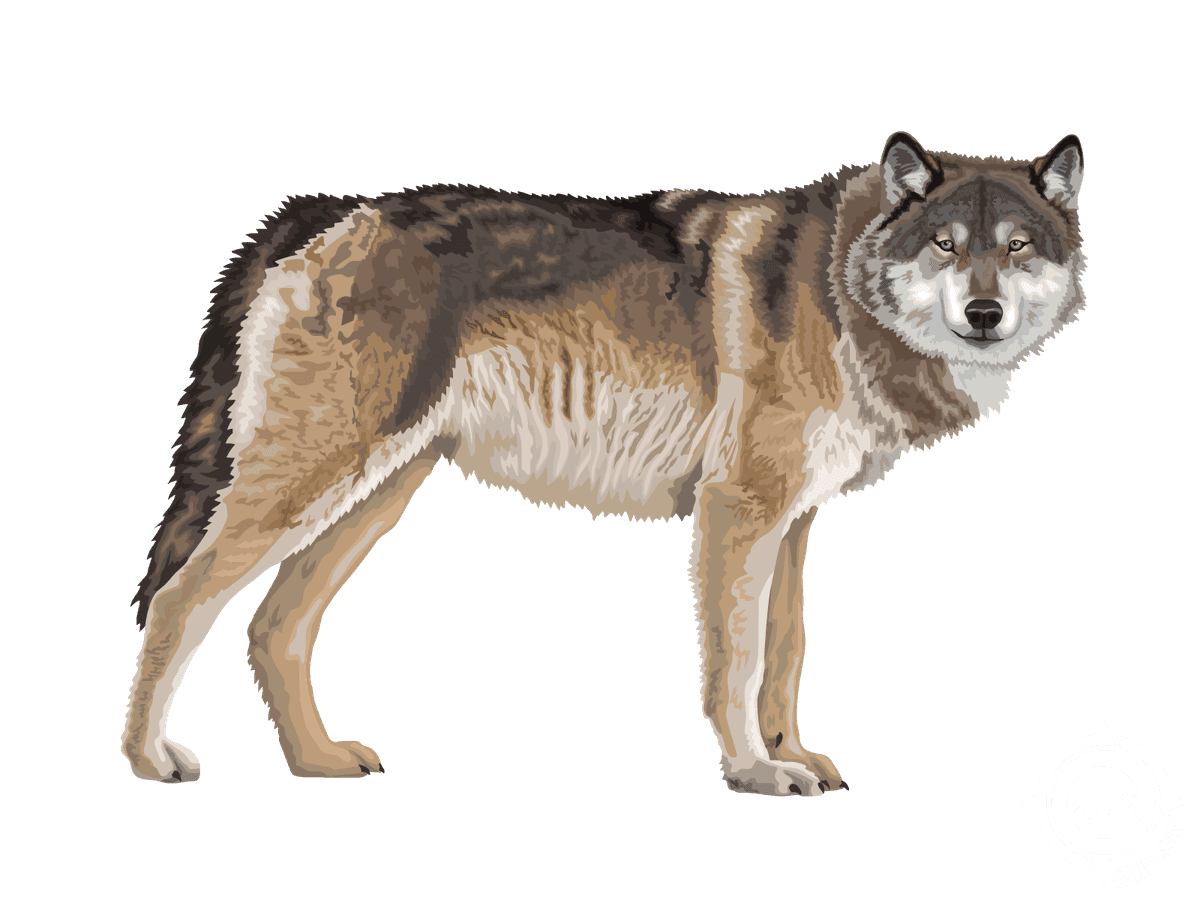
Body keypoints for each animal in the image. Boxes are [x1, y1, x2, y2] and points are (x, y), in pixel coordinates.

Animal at [122, 133, 1085, 796]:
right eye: (947, 245)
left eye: (1018, 247)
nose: (987, 314)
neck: (840, 287)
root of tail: (336, 207)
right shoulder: (740, 510)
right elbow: (736, 664)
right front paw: (754, 773)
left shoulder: (796, 522)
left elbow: (786, 655)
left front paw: (794, 756)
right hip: (315, 487)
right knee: (180, 602)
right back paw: (148, 758)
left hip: (374, 500)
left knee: (272, 626)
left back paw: (318, 762)